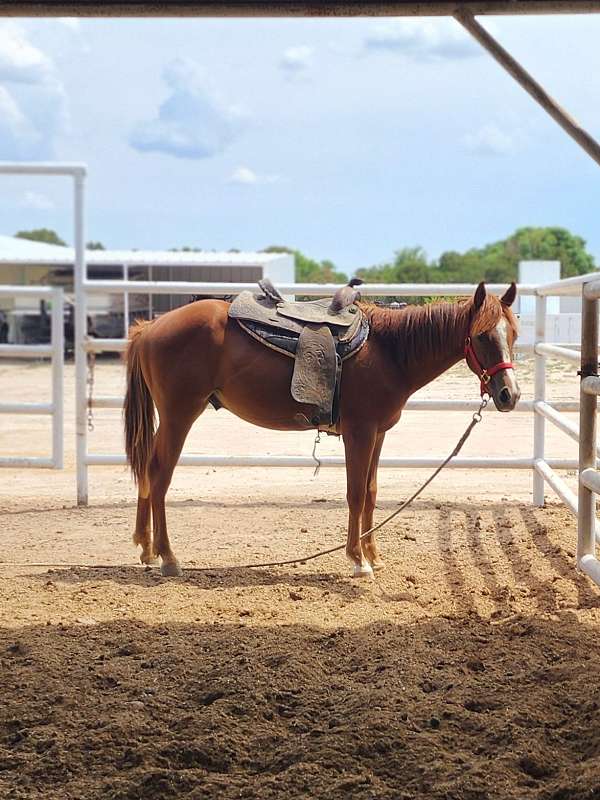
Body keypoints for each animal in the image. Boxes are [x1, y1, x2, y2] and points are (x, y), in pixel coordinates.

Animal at [123, 280, 520, 578]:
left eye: (513, 334)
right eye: (482, 336)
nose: (509, 395)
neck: (389, 351)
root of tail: (151, 328)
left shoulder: (378, 434)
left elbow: (371, 492)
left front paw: (373, 555)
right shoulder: (360, 433)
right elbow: (355, 494)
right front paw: (358, 560)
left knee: (147, 470)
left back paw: (146, 548)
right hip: (179, 415)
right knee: (159, 475)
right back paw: (168, 557)